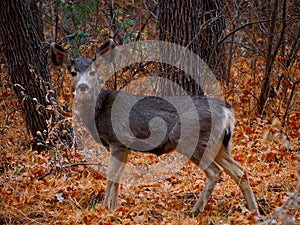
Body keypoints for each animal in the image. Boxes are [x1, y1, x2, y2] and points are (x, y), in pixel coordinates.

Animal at [49, 40, 258, 214]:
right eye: (73, 72)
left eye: (93, 72)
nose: (83, 86)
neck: (99, 111)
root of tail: (227, 110)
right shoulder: (125, 146)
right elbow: (118, 177)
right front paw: (114, 207)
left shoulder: (119, 139)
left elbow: (111, 176)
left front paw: (106, 209)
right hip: (220, 144)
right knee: (240, 171)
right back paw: (254, 210)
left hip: (192, 140)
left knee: (215, 172)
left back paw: (195, 210)